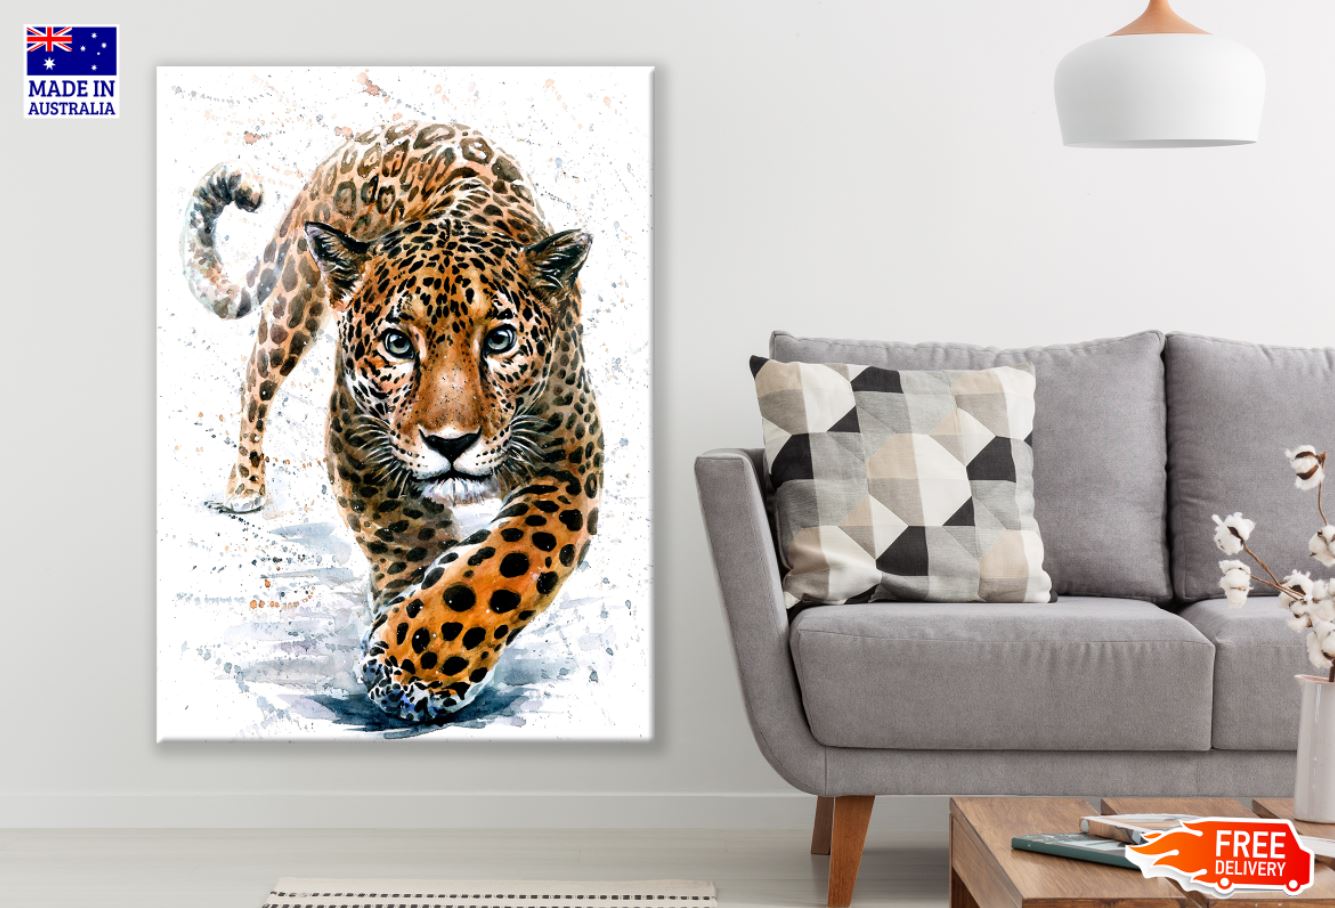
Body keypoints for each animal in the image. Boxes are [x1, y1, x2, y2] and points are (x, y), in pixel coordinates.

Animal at [179, 121, 603, 721]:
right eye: (398, 344)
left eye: (500, 340)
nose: (451, 442)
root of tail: (378, 130)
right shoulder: (357, 444)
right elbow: (409, 537)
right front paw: (410, 652)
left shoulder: (569, 463)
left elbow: (506, 562)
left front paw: (417, 664)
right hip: (295, 300)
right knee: (256, 378)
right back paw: (245, 485)